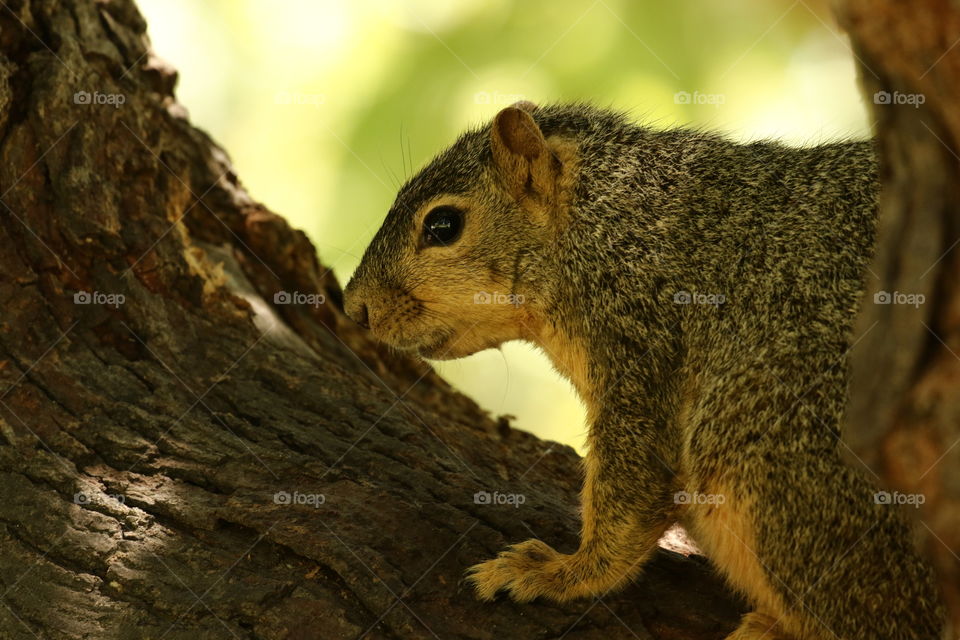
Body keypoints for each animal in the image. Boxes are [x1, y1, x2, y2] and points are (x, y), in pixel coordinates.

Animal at [342, 102, 940, 636]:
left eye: (443, 224)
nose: (354, 308)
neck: (608, 222)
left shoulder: (640, 337)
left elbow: (635, 487)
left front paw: (560, 572)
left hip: (767, 447)